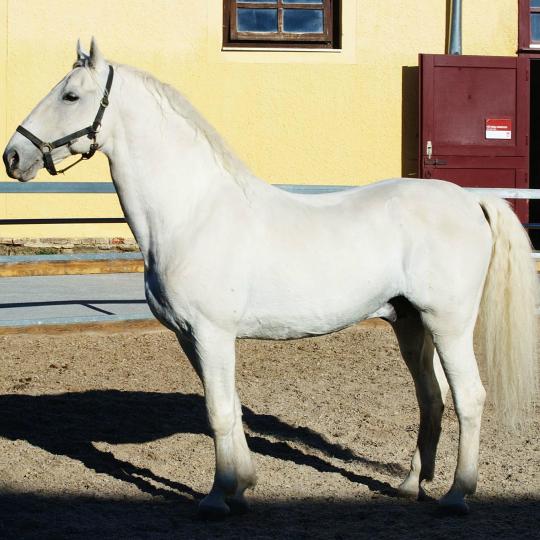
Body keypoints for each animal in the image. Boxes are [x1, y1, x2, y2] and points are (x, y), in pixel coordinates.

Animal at [3, 40, 536, 516]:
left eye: (71, 96)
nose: (13, 157)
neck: (192, 212)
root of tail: (470, 199)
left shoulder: (212, 334)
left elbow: (218, 412)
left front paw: (217, 498)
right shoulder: (191, 337)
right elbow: (231, 408)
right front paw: (241, 486)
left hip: (449, 323)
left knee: (469, 398)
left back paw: (456, 495)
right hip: (410, 324)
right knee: (432, 398)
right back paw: (410, 485)